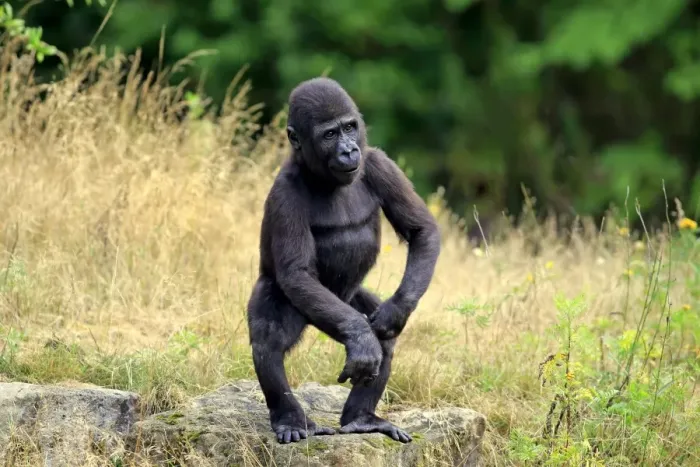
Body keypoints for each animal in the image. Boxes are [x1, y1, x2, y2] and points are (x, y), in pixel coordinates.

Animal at [246, 77, 441, 445]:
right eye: (329, 135)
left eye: (350, 127)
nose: (349, 150)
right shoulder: (284, 193)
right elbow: (297, 273)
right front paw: (362, 340)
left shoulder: (379, 162)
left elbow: (422, 231)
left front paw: (395, 312)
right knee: (268, 340)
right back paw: (291, 419)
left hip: (348, 299)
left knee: (384, 339)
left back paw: (362, 418)